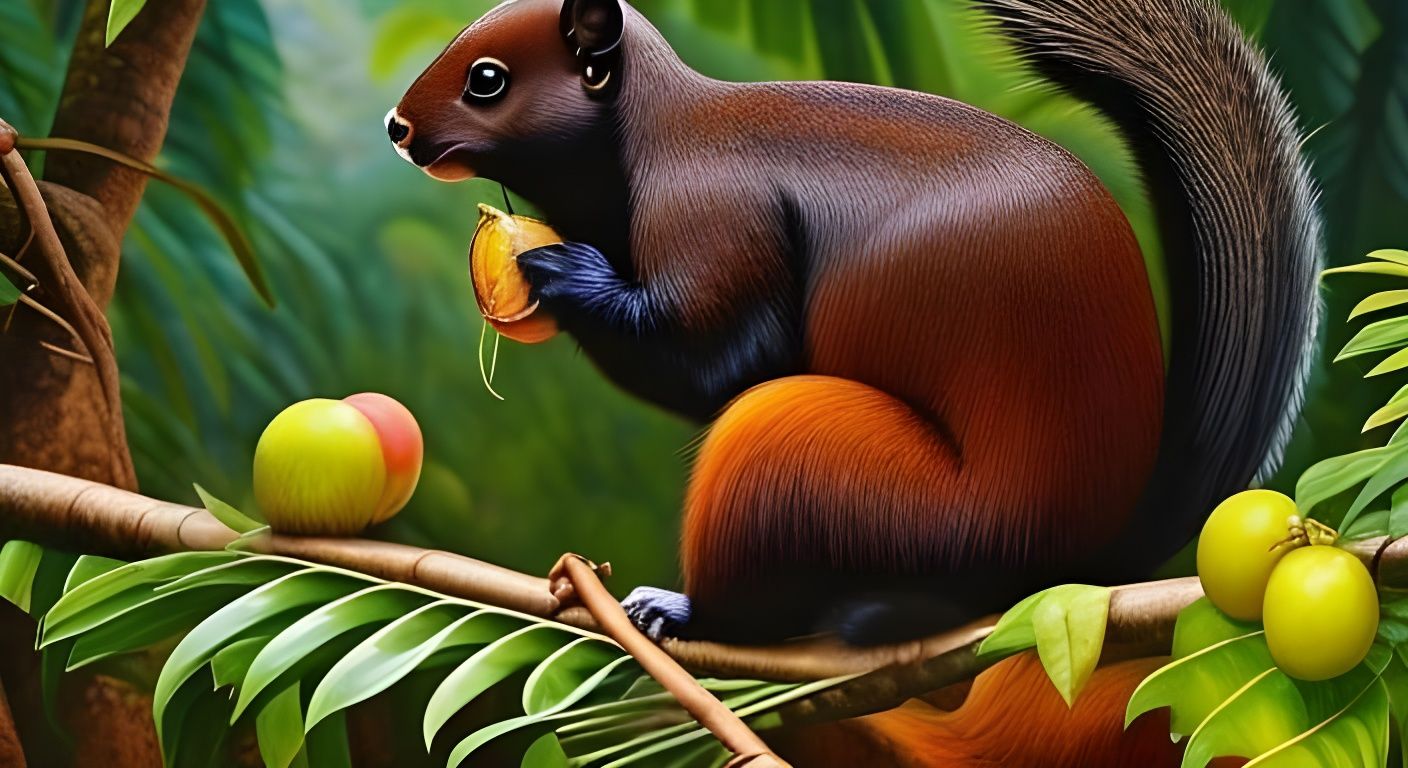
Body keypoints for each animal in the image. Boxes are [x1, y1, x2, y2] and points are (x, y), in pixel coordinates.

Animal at [391, 0, 1319, 761]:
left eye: (487, 79)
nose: (398, 127)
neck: (649, 137)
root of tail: (1097, 557)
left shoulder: (716, 213)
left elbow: (727, 359)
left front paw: (558, 271)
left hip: (820, 468)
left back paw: (705, 614)